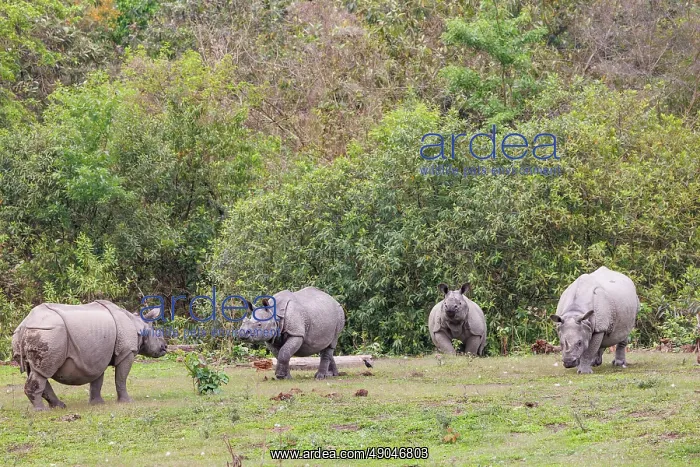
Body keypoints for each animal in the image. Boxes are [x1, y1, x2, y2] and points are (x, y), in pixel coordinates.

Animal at [12, 300, 167, 410]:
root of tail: (25, 324)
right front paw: (127, 402)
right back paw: (42, 411)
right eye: (157, 335)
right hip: (48, 333)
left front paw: (97, 404)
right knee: (43, 372)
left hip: (33, 333)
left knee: (37, 372)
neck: (138, 324)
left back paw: (60, 407)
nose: (165, 347)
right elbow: (121, 378)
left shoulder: (98, 356)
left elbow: (97, 381)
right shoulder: (127, 351)